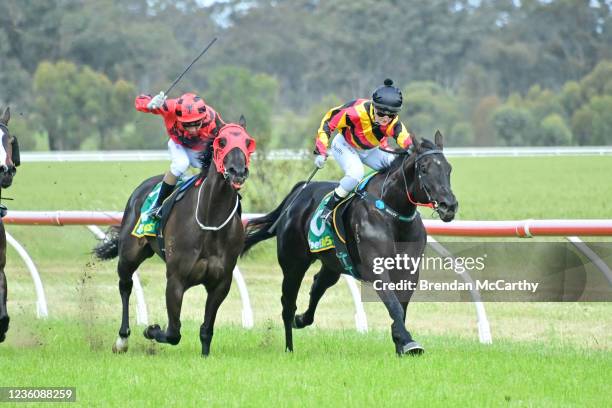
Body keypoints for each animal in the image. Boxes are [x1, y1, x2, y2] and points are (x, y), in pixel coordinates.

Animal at [95, 118, 256, 356]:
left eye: (247, 142)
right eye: (221, 142)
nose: (238, 171)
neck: (210, 221)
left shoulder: (221, 282)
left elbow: (206, 329)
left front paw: (205, 356)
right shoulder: (176, 279)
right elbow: (173, 332)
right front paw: (151, 330)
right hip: (129, 254)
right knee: (125, 285)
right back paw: (122, 339)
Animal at [241, 133, 456, 354]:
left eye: (448, 169)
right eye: (424, 168)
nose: (449, 206)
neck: (391, 213)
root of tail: (299, 192)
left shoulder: (409, 270)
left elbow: (401, 306)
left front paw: (400, 342)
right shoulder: (376, 268)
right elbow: (394, 305)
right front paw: (408, 342)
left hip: (333, 263)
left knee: (318, 285)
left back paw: (301, 320)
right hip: (293, 264)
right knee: (288, 304)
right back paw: (289, 347)